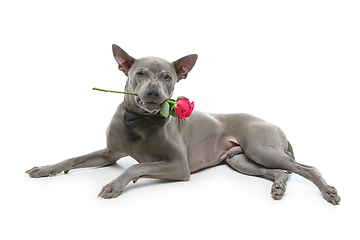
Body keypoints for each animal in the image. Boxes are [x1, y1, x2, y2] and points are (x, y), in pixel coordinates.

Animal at [25, 43, 340, 204]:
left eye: (168, 76)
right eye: (139, 73)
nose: (154, 93)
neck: (139, 121)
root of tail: (273, 123)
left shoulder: (179, 166)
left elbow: (137, 166)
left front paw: (115, 185)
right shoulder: (109, 154)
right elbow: (73, 158)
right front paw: (45, 169)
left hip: (262, 148)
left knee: (306, 168)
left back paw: (328, 191)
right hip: (240, 160)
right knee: (281, 172)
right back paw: (278, 187)